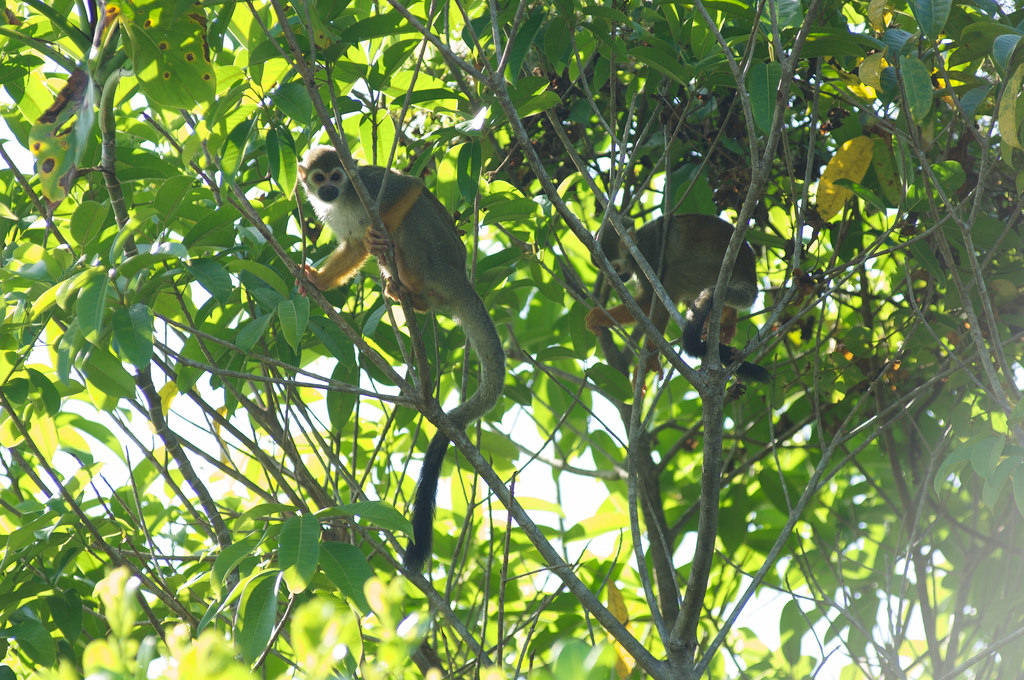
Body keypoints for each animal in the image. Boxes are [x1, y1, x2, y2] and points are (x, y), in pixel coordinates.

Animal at [299, 146, 505, 569]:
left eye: (337, 177)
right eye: (318, 179)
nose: (327, 190)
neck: (344, 201)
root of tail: (462, 280)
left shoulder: (369, 182)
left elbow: (410, 186)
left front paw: (377, 235)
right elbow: (351, 248)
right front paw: (318, 281)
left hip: (439, 257)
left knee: (413, 216)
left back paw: (404, 273)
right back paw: (414, 298)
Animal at [585, 213, 770, 383]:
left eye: (615, 268)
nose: (609, 279)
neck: (637, 244)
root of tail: (748, 271)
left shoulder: (649, 255)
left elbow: (650, 301)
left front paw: (599, 315)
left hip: (708, 268)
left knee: (672, 277)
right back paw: (727, 317)